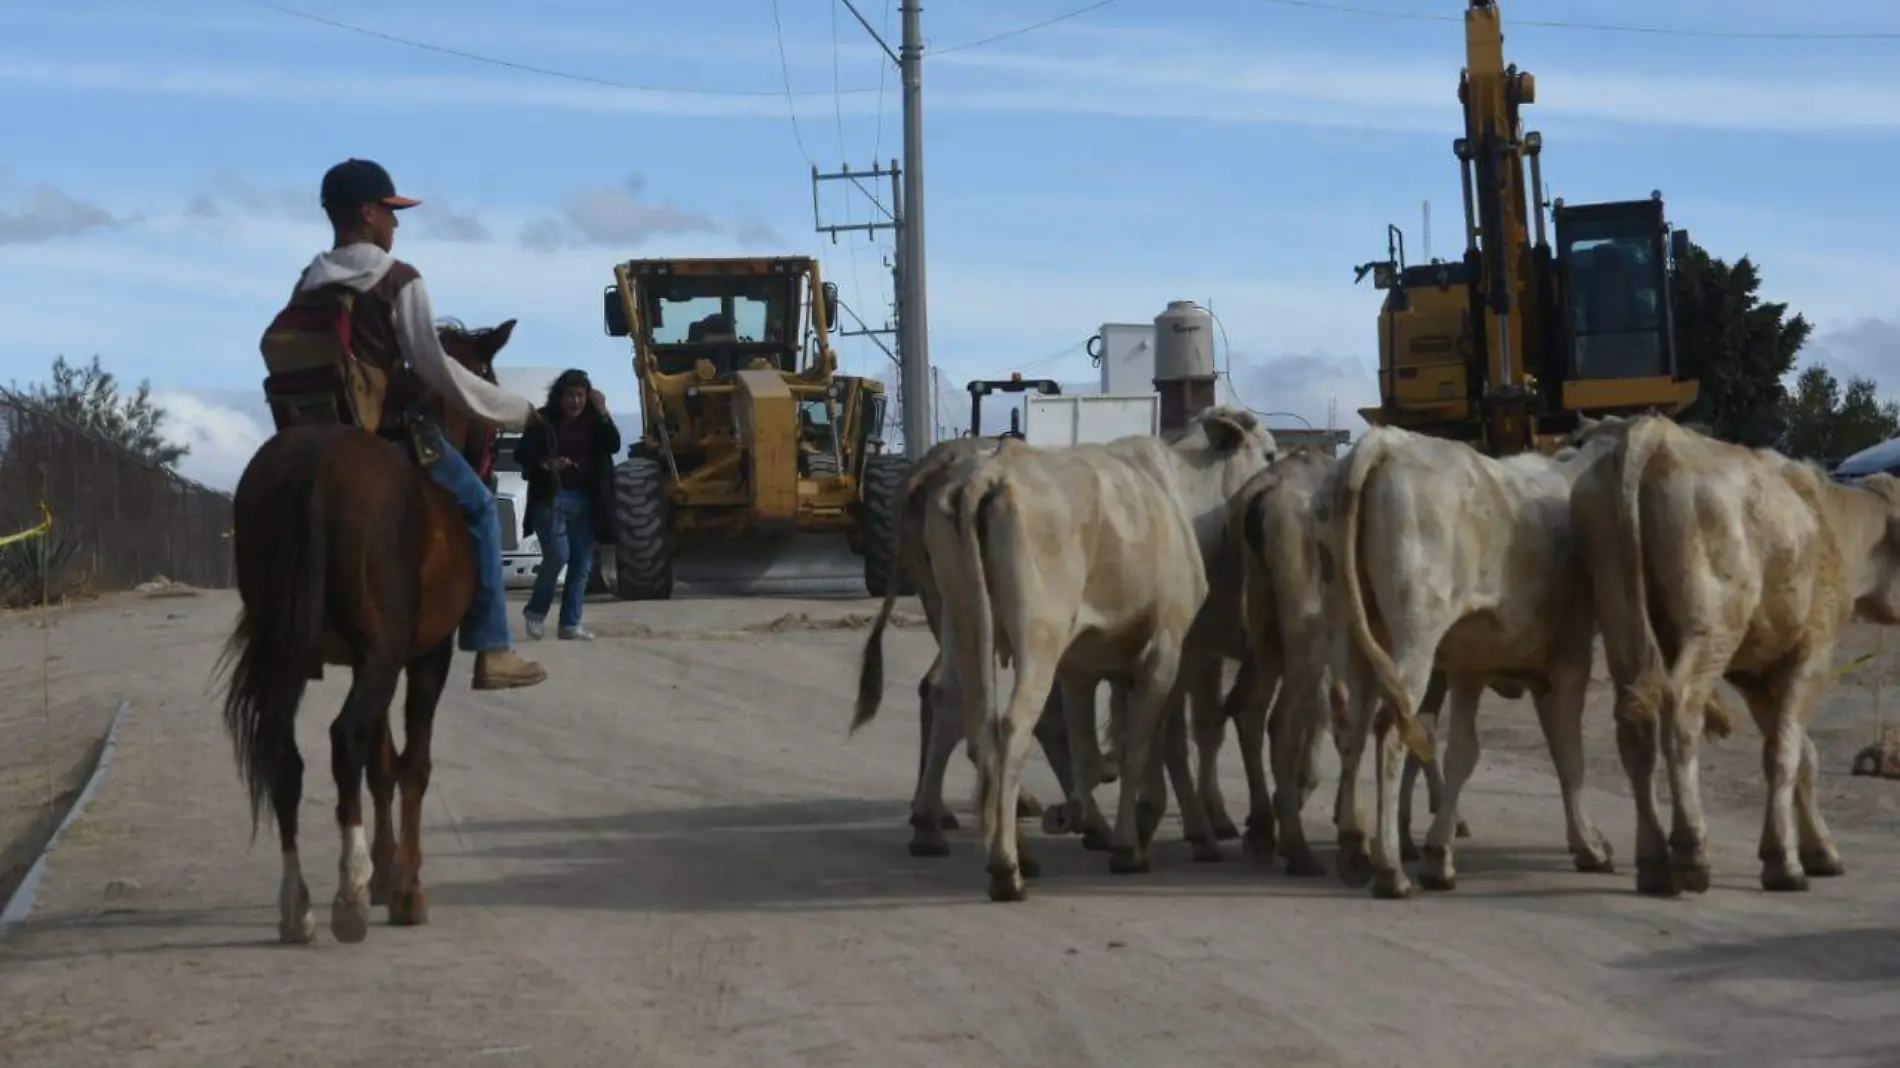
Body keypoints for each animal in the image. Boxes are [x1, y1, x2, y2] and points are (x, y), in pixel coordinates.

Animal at [217, 313, 516, 938]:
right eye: (485, 376)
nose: (492, 464)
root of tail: (314, 461)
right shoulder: (422, 656)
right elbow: (412, 764)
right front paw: (402, 888)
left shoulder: (370, 658)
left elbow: (381, 764)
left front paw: (384, 871)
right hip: (381, 656)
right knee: (343, 736)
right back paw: (348, 894)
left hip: (292, 652)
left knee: (285, 751)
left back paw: (298, 904)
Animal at [923, 406, 1276, 896]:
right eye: (1270, 453)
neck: (1180, 493)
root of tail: (989, 473)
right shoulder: (1168, 650)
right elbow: (1141, 747)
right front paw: (1128, 845)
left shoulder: (1083, 669)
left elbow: (1095, 749)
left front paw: (1082, 810)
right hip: (1040, 638)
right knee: (1011, 728)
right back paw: (1006, 868)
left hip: (965, 626)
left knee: (967, 719)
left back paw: (996, 846)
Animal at [1573, 412, 1900, 893]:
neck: (1831, 524)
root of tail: (1660, 432)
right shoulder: (1810, 656)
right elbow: (1785, 752)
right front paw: (1784, 860)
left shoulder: (1754, 674)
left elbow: (1798, 751)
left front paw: (1817, 849)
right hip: (1713, 627)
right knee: (1682, 709)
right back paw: (1690, 851)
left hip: (1618, 619)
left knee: (1635, 730)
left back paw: (1653, 862)